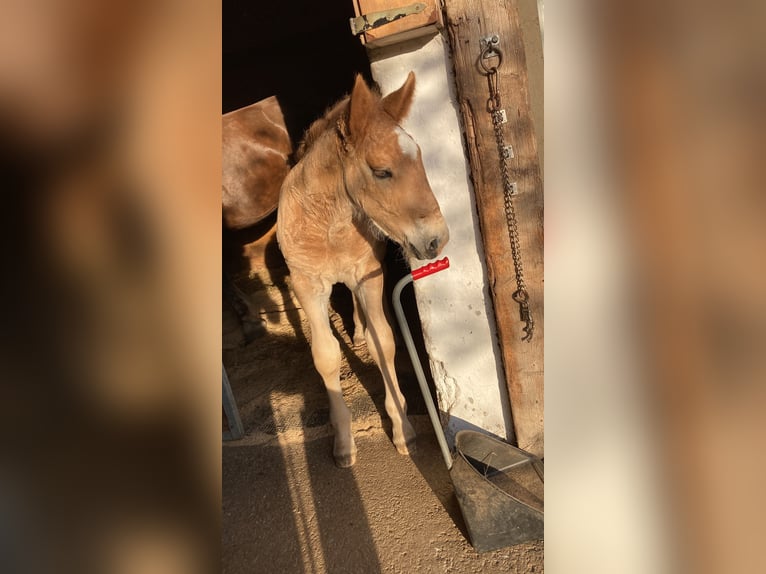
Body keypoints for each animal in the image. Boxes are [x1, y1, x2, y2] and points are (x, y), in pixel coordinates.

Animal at [280, 73, 450, 468]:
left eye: (420, 158)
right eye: (381, 171)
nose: (438, 239)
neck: (328, 225)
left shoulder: (369, 275)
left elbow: (383, 343)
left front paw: (403, 428)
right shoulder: (306, 285)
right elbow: (326, 356)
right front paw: (344, 444)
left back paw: (359, 331)